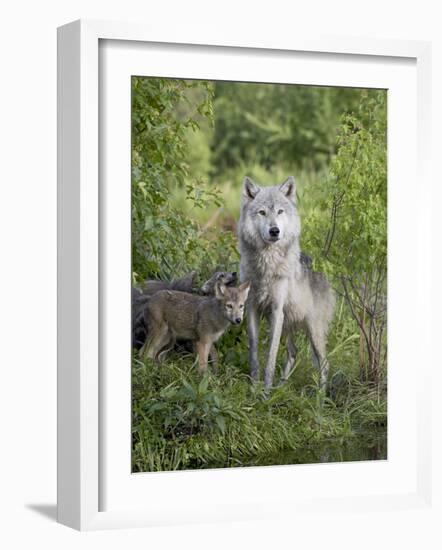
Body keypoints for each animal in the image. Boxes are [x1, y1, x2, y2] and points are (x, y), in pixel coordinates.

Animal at [238, 177, 334, 392]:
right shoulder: (252, 308)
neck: (267, 264)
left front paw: (265, 393)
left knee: (324, 364)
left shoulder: (276, 311)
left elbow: (271, 357)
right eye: (262, 212)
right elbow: (254, 352)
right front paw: (254, 387)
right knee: (293, 352)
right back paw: (281, 388)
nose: (275, 231)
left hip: (313, 330)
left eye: (280, 211)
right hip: (288, 324)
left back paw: (319, 397)